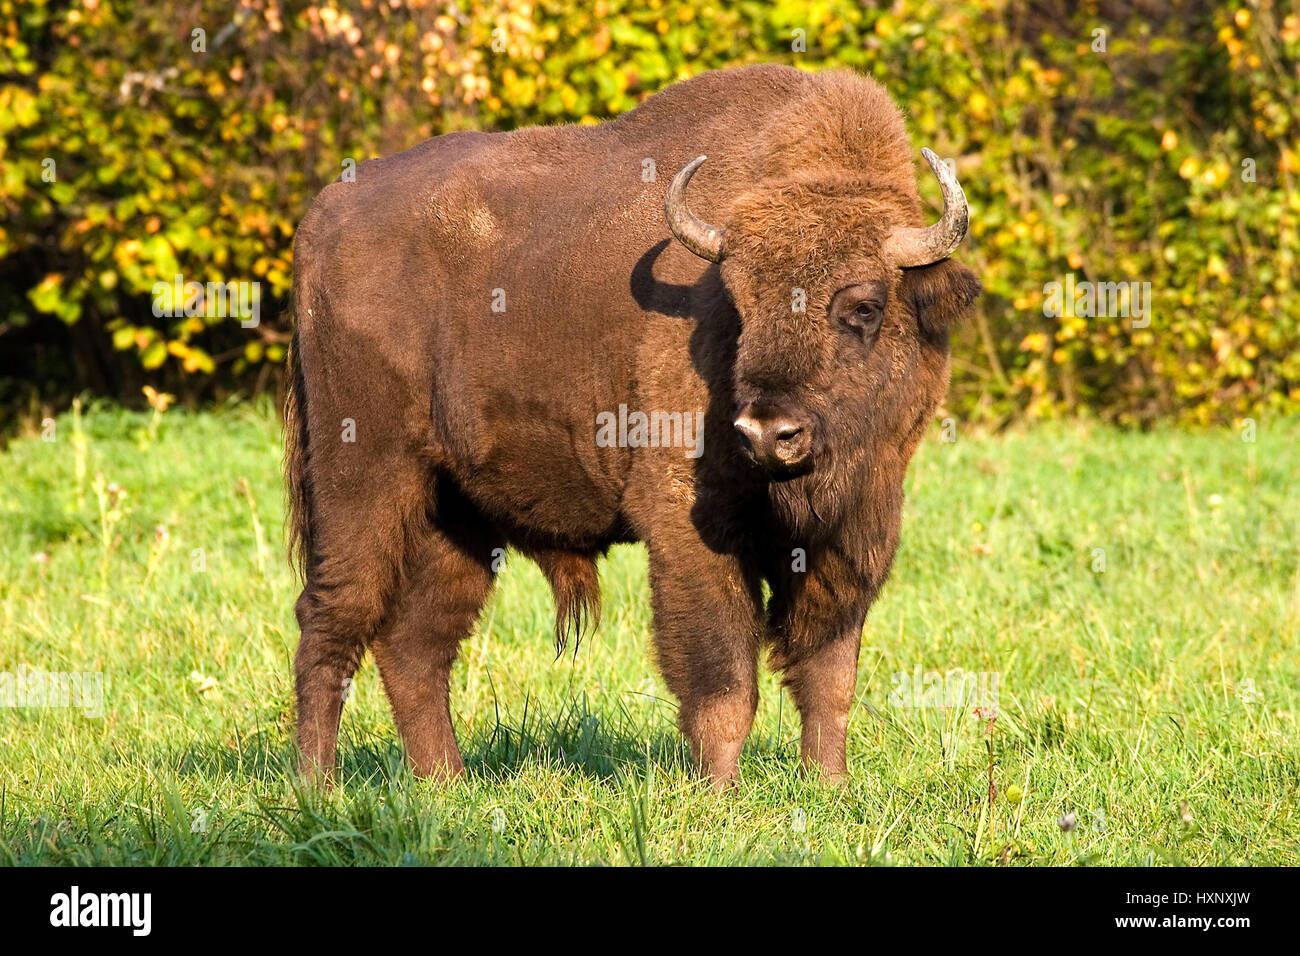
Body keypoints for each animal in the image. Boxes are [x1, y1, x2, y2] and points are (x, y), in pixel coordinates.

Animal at [282, 63, 977, 790]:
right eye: (741, 303)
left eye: (864, 306)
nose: (767, 433)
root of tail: (322, 220)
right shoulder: (688, 523)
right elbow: (723, 680)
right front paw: (718, 794)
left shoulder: (857, 529)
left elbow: (828, 676)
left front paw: (829, 787)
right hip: (361, 476)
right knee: (332, 617)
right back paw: (316, 786)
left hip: (456, 513)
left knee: (414, 644)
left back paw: (446, 782)